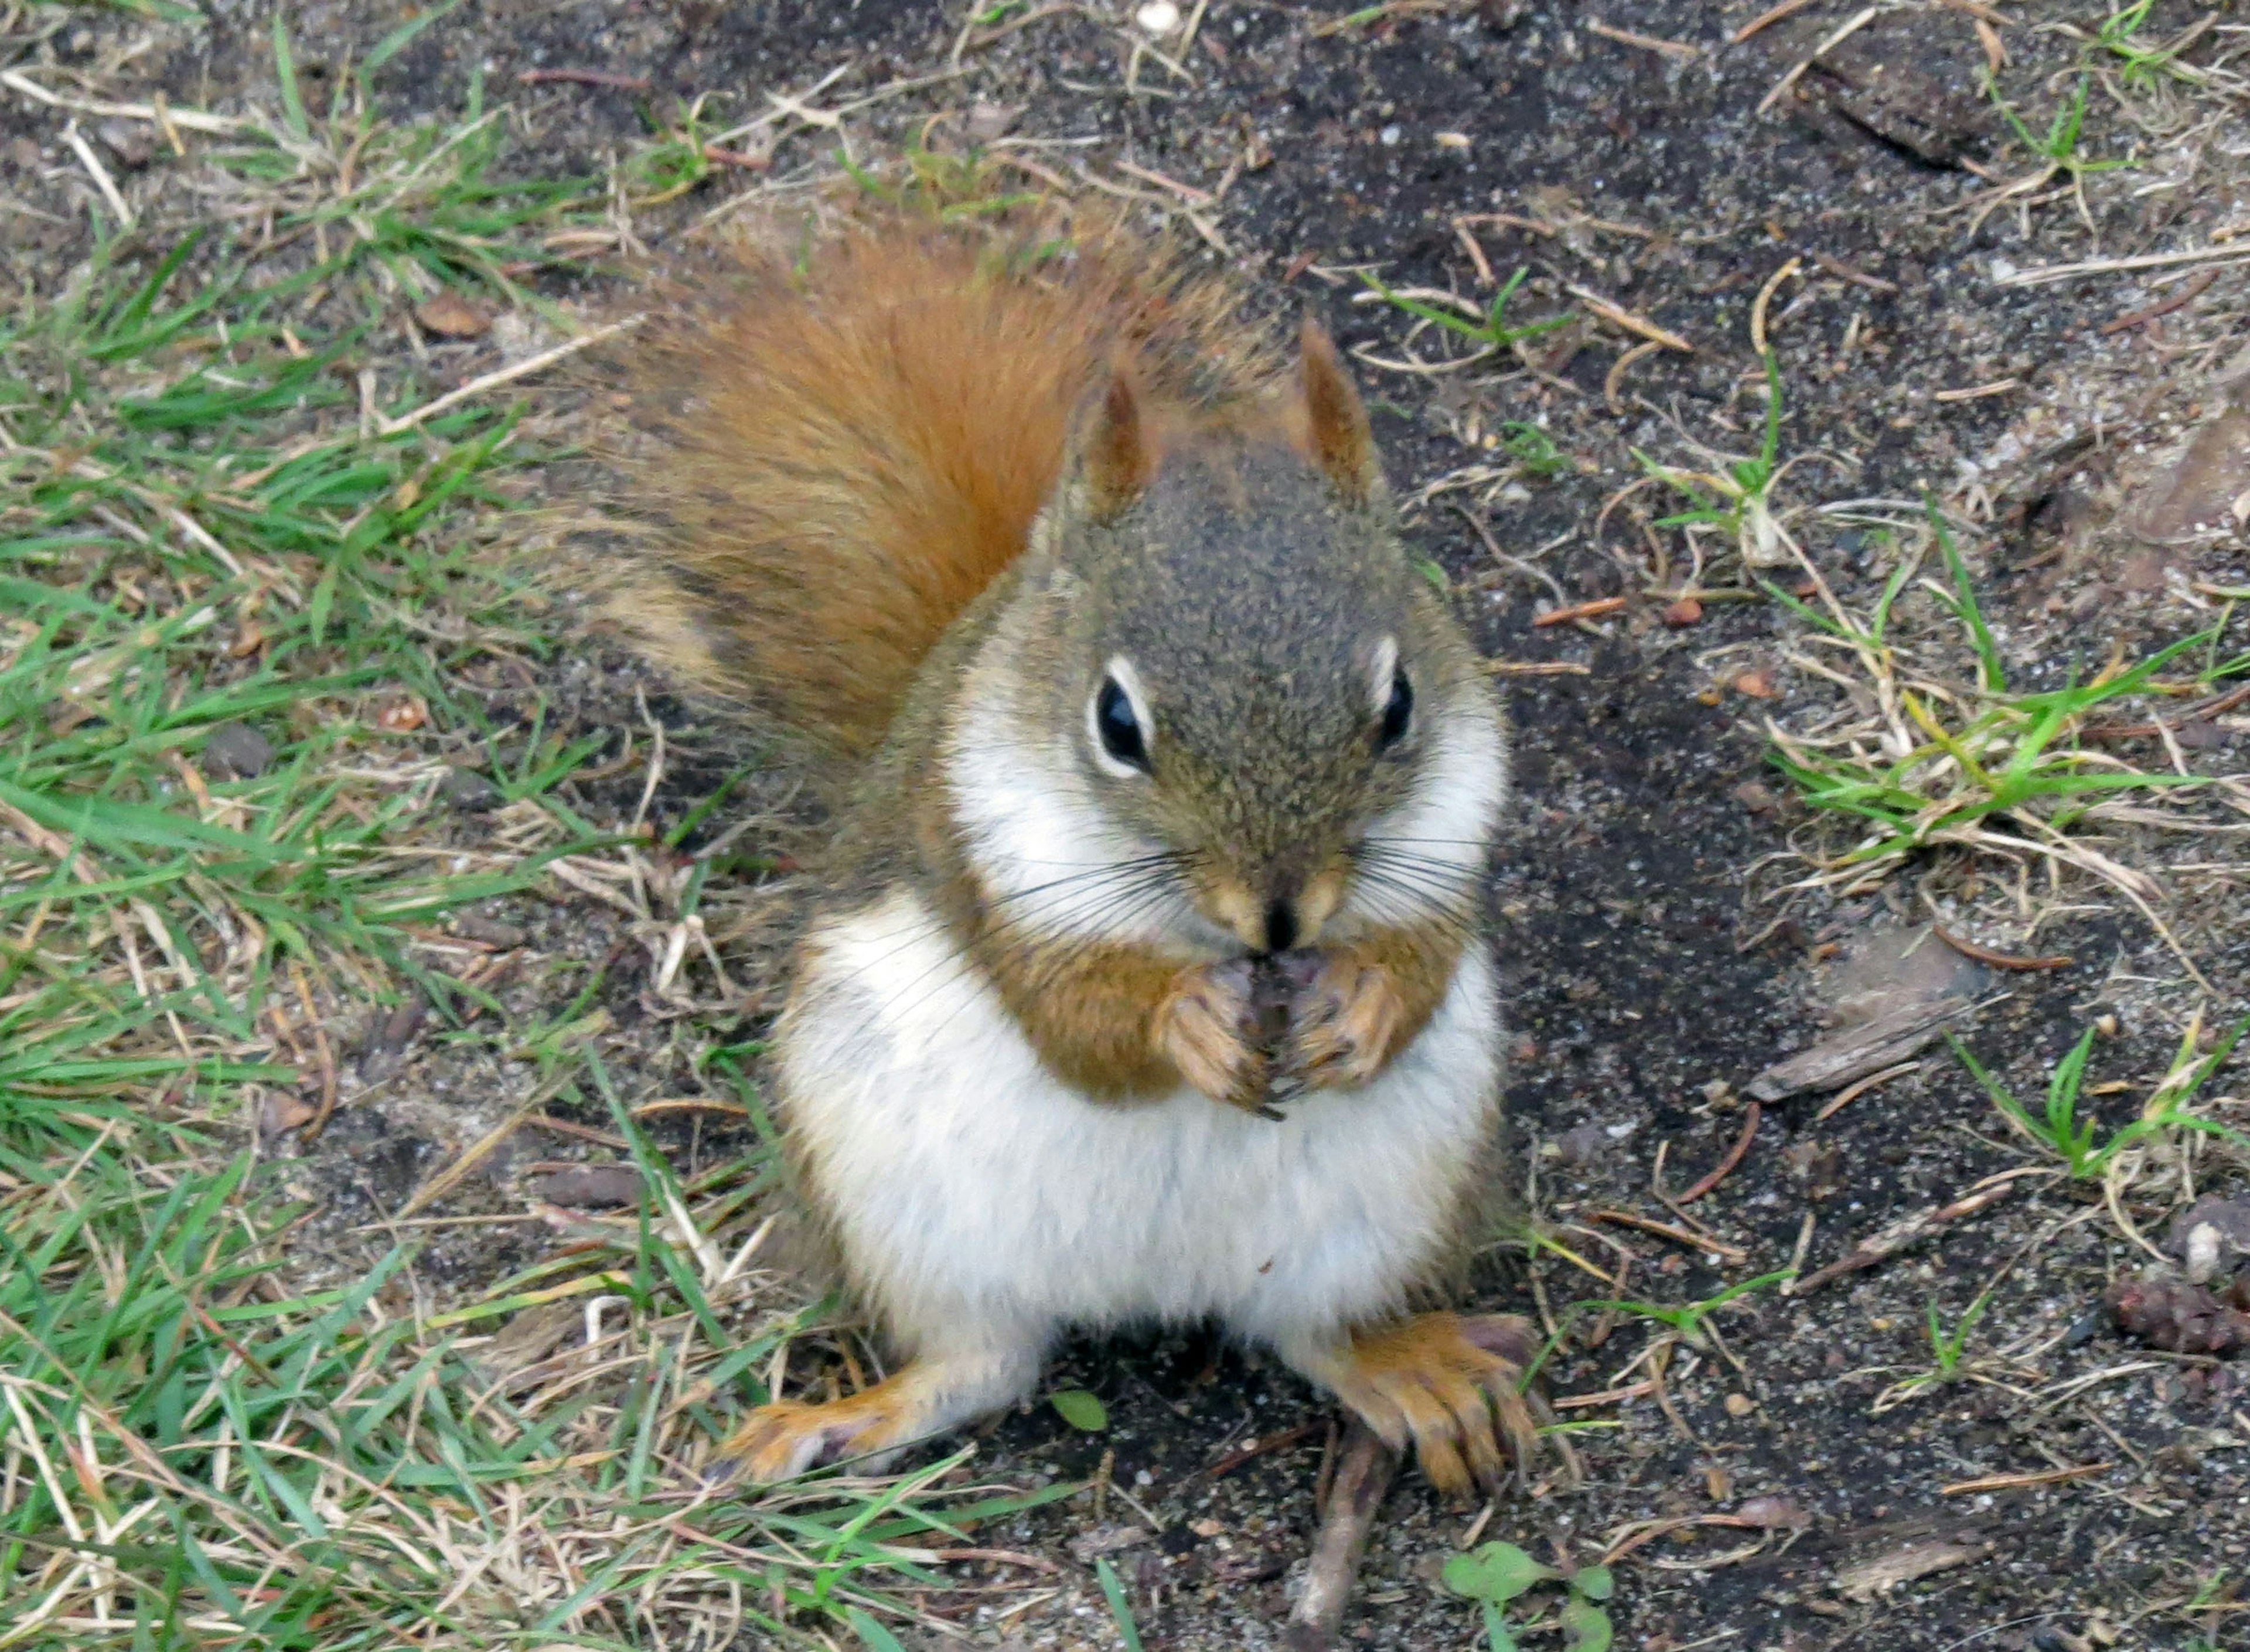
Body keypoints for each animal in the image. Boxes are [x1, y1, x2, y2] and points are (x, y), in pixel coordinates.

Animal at [607, 203, 1539, 1503]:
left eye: (1400, 704)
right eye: (1116, 723)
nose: (1281, 917)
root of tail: (1158, 1288)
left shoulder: (1451, 836)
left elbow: (1422, 955)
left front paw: (1358, 1009)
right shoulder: (983, 860)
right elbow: (1077, 1022)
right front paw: (1181, 1023)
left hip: (1394, 1196)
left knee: (1313, 1333)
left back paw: (1414, 1374)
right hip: (893, 1194)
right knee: (979, 1368)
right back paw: (843, 1421)